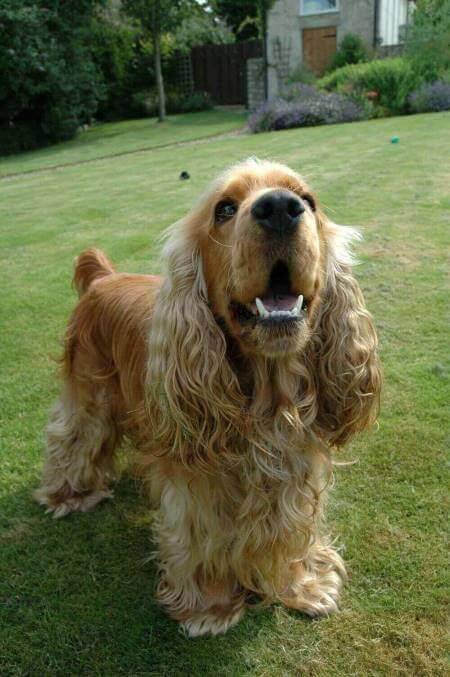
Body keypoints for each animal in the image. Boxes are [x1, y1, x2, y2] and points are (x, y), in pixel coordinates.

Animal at [35, 157, 382, 632]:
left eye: (308, 201)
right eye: (224, 209)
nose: (280, 208)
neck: (268, 392)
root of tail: (105, 277)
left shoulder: (297, 464)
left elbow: (294, 527)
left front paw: (305, 586)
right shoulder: (198, 478)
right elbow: (201, 537)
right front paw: (211, 608)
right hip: (91, 392)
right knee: (72, 437)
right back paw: (69, 495)